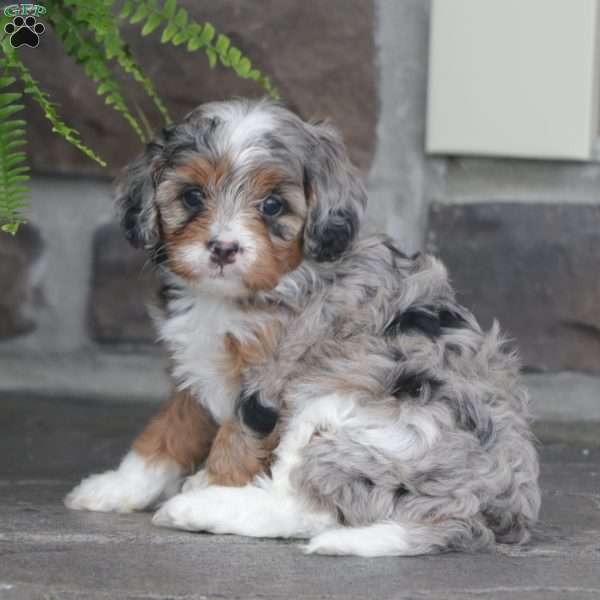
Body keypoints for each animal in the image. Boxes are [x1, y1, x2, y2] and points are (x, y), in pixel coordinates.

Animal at [64, 99, 540, 556]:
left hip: (344, 411)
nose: (223, 248)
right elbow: (167, 431)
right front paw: (117, 487)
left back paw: (199, 506)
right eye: (193, 197)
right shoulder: (194, 369)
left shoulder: (268, 381)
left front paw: (210, 481)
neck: (235, 296)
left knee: (304, 505)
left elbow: (236, 443)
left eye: (272, 205)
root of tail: (476, 509)